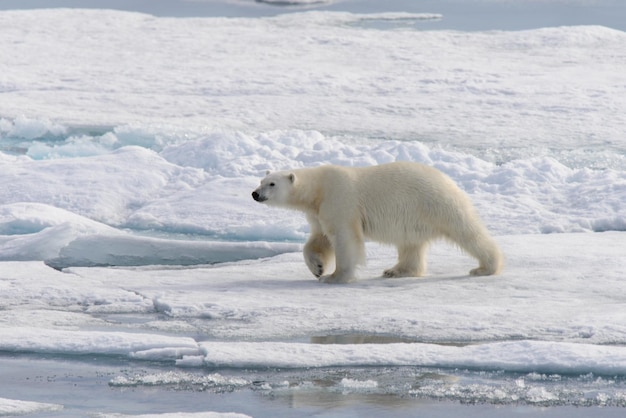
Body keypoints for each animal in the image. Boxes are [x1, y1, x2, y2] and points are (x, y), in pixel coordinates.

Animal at [251, 161, 500, 284]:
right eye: (261, 180)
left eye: (272, 184)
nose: (255, 194)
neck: (318, 189)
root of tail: (449, 180)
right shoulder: (318, 211)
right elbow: (319, 238)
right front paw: (318, 268)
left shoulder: (340, 199)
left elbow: (344, 238)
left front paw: (335, 277)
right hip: (413, 216)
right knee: (410, 244)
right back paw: (396, 271)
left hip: (435, 203)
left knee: (467, 231)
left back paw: (485, 267)